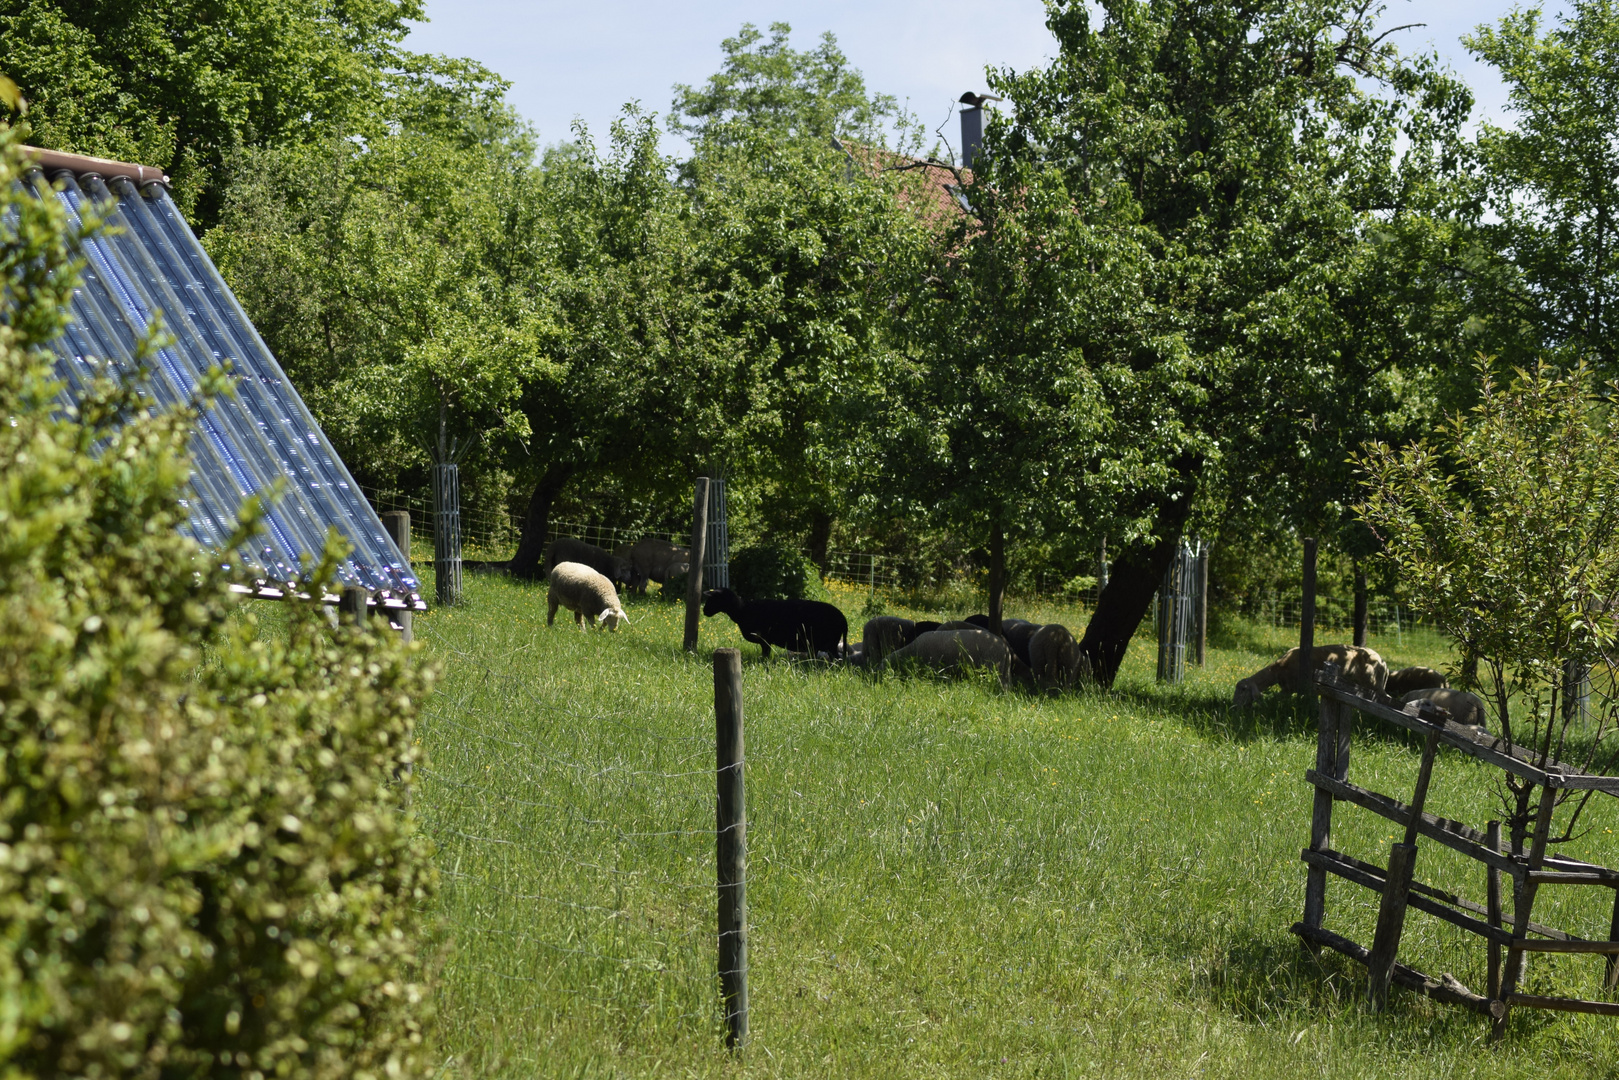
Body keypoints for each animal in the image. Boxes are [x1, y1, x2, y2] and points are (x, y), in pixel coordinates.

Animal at [699, 592, 848, 660]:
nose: (704, 611)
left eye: (712, 599)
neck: (742, 610)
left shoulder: (765, 640)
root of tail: (843, 619)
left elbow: (765, 654)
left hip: (828, 644)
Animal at [1230, 641, 1385, 709]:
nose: (1234, 706)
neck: (1278, 669)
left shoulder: (1309, 687)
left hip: (1374, 685)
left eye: (1243, 689)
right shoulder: (1287, 689)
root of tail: (1382, 661)